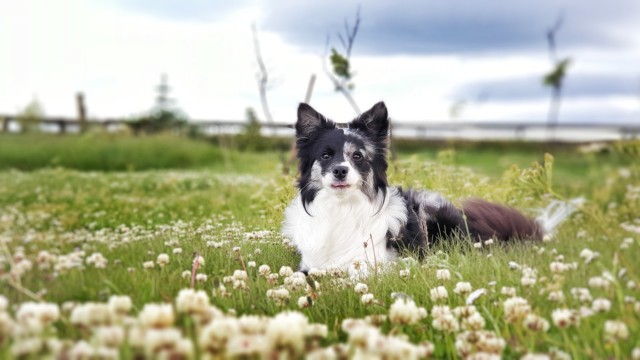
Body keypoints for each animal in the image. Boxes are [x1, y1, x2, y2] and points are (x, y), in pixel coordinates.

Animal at [282, 101, 572, 276]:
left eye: (357, 156)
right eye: (326, 155)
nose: (340, 170)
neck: (343, 208)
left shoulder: (376, 265)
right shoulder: (309, 266)